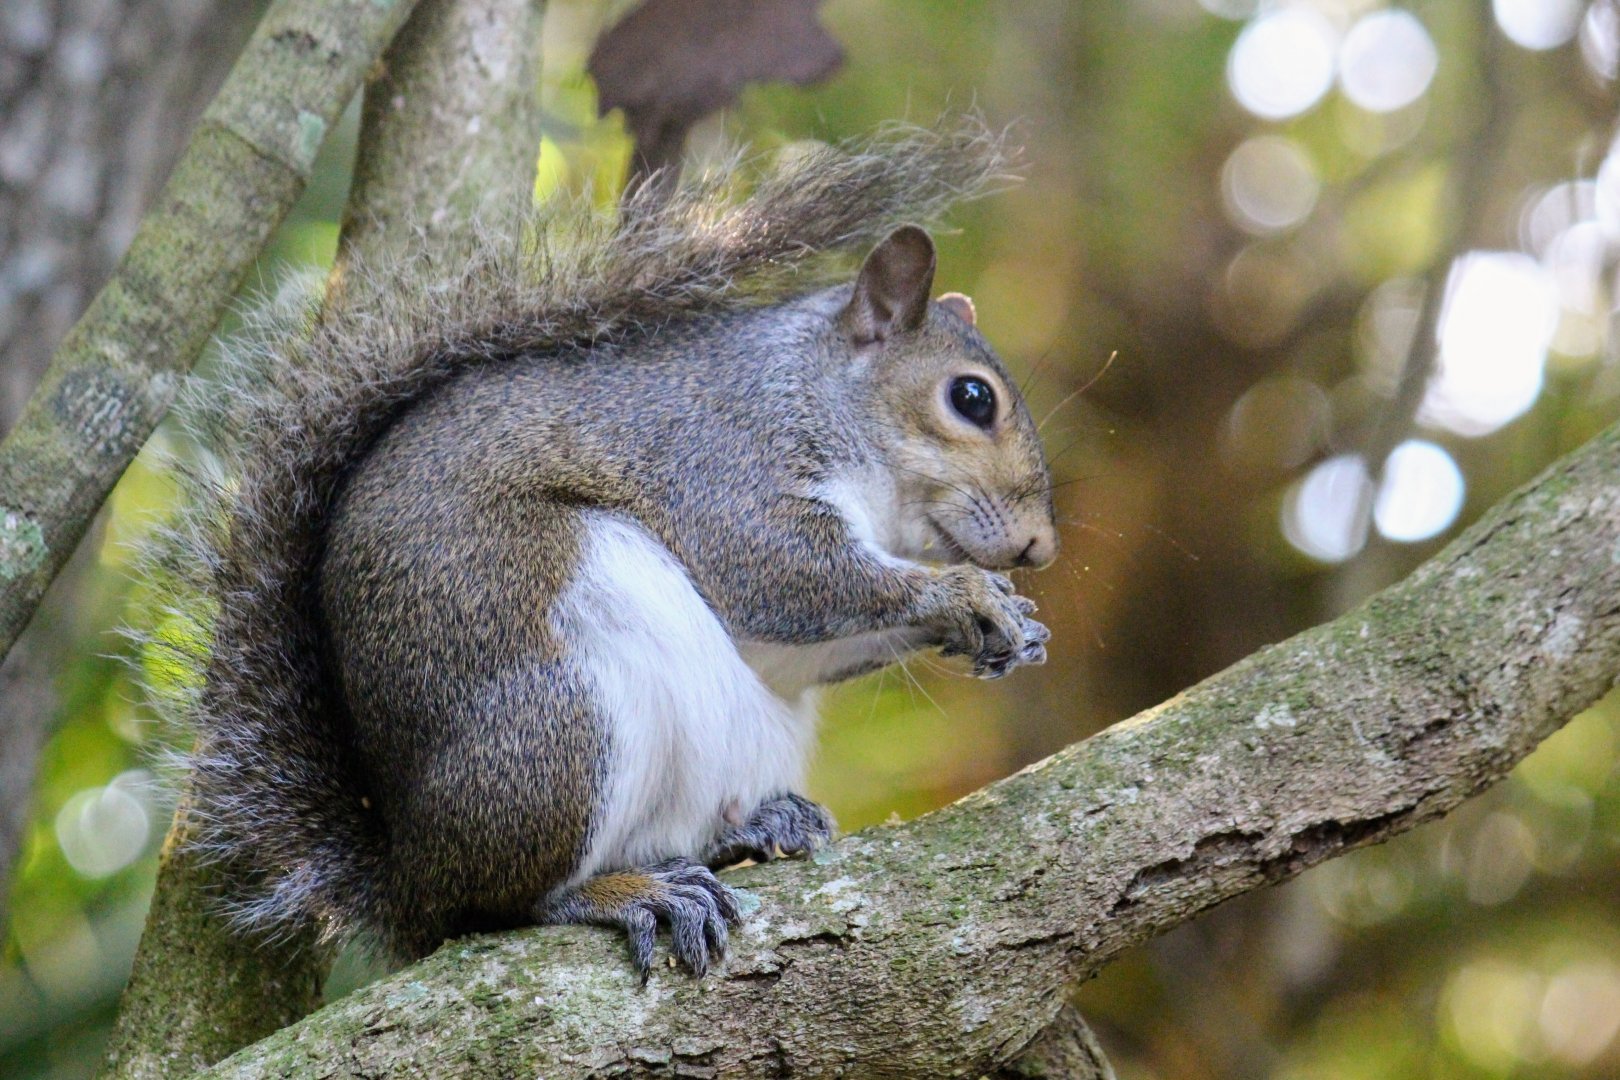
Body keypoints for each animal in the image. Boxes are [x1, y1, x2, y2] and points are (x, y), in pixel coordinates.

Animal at [141, 123, 1059, 979]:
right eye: (971, 399)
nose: (1040, 548)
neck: (812, 389)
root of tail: (412, 876)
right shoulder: (723, 467)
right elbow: (782, 575)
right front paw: (963, 595)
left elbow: (802, 646)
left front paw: (1012, 626)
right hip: (562, 722)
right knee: (503, 904)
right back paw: (626, 891)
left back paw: (757, 824)